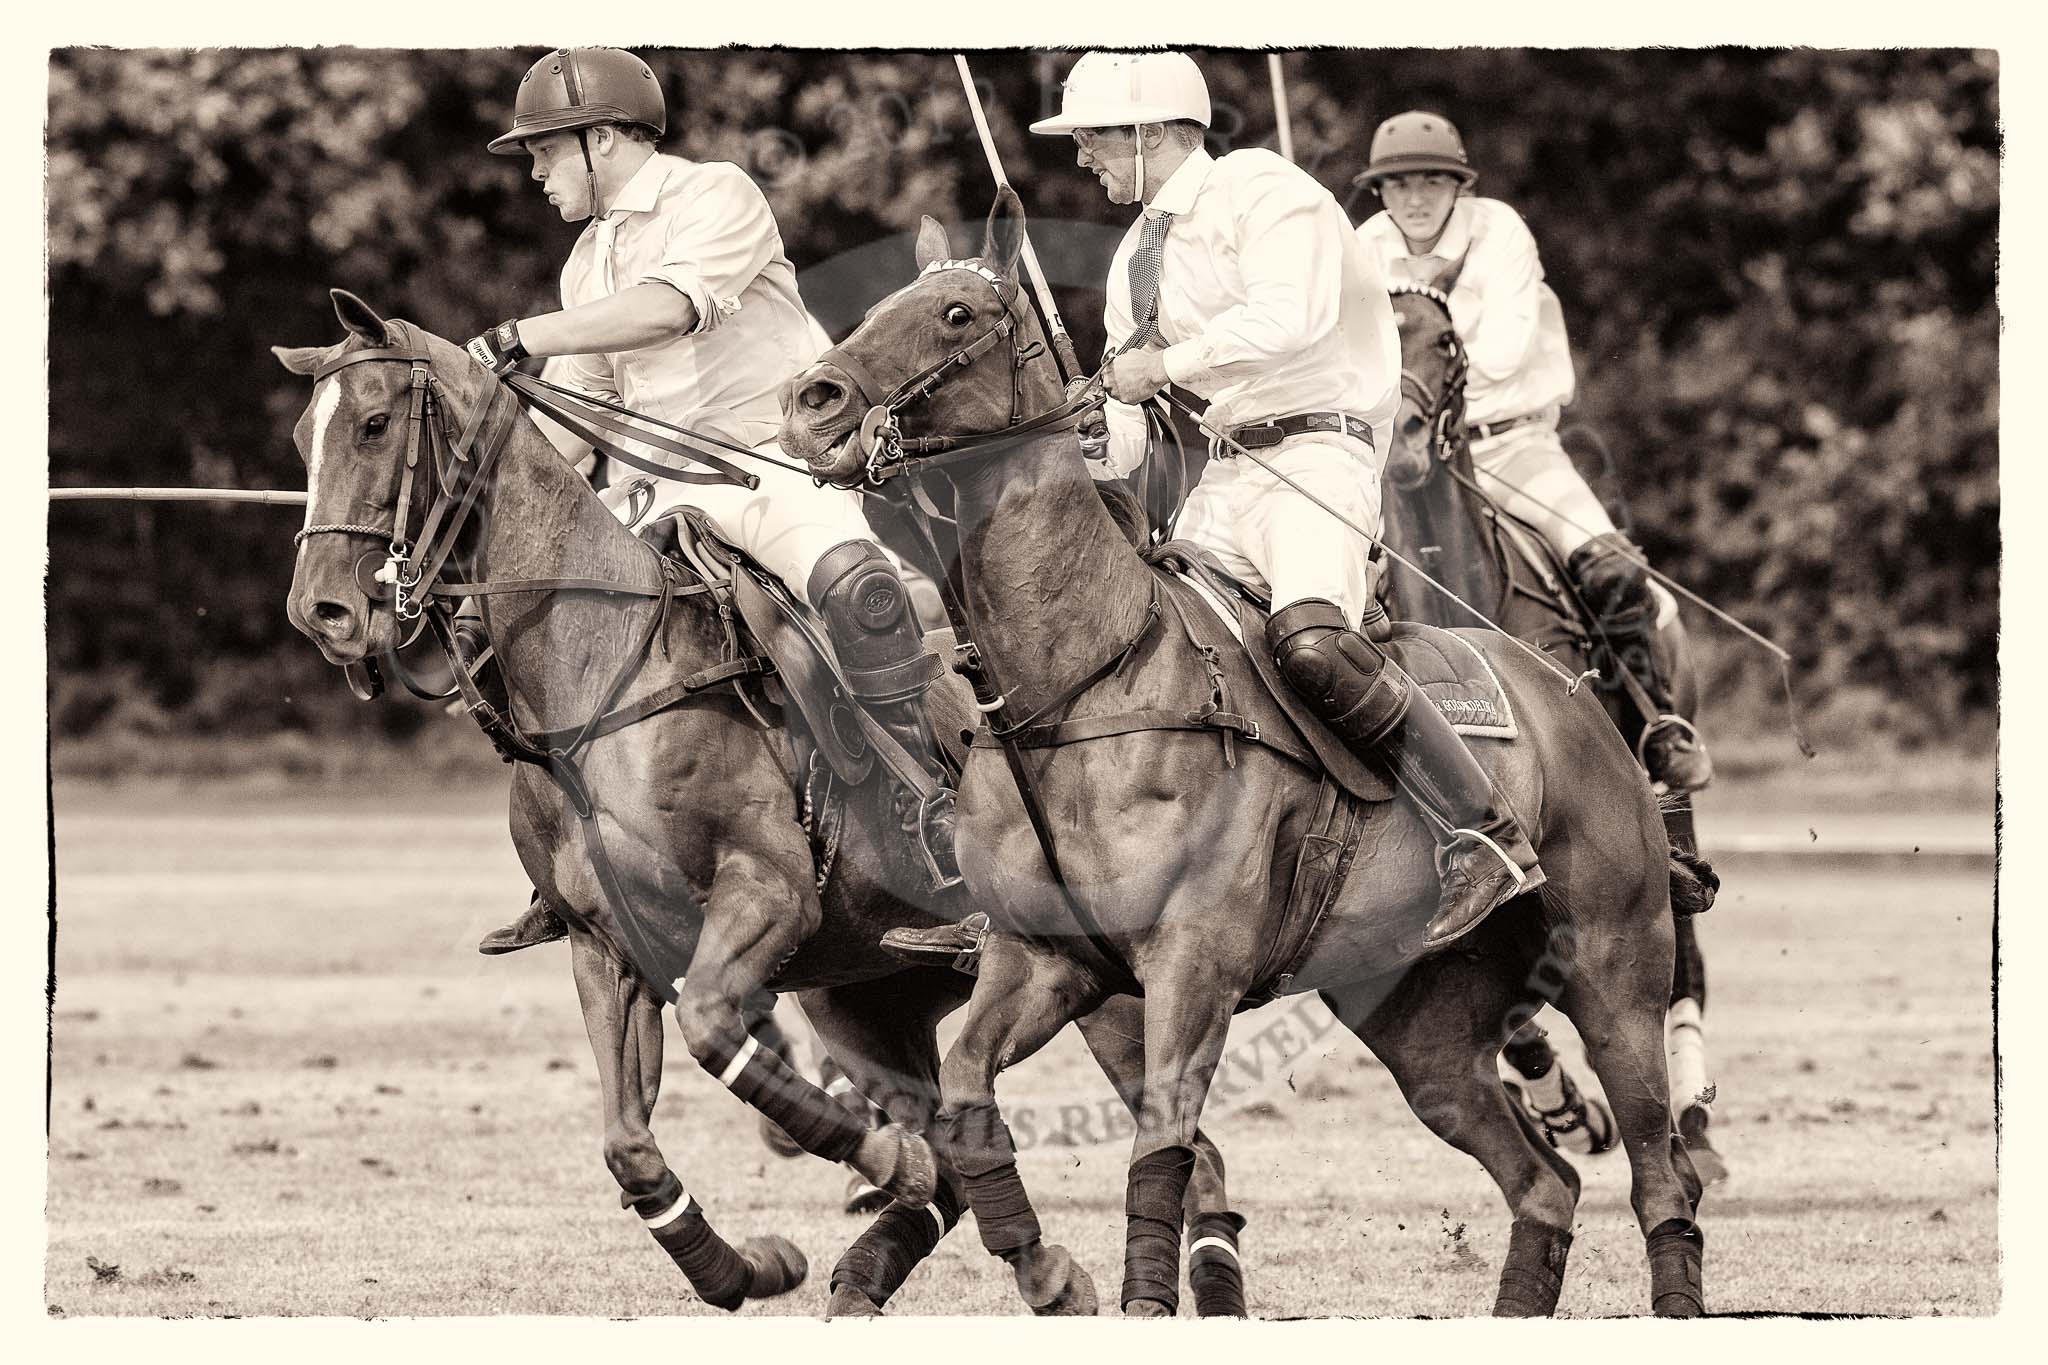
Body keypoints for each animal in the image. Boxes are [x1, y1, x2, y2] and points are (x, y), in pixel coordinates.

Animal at [274, 286, 1245, 1309]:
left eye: (374, 424)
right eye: (304, 434)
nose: (322, 612)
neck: (599, 680)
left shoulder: (767, 890)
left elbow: (715, 1027)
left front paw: (880, 1167)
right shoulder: (603, 944)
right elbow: (627, 1144)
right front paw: (749, 1264)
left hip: (1106, 984)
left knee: (1195, 1149)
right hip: (866, 1001)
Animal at [1384, 282, 1720, 1178]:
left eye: (1447, 341)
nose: (1402, 439)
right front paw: (1566, 1105)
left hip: (1664, 786)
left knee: (1684, 949)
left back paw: (1696, 1119)